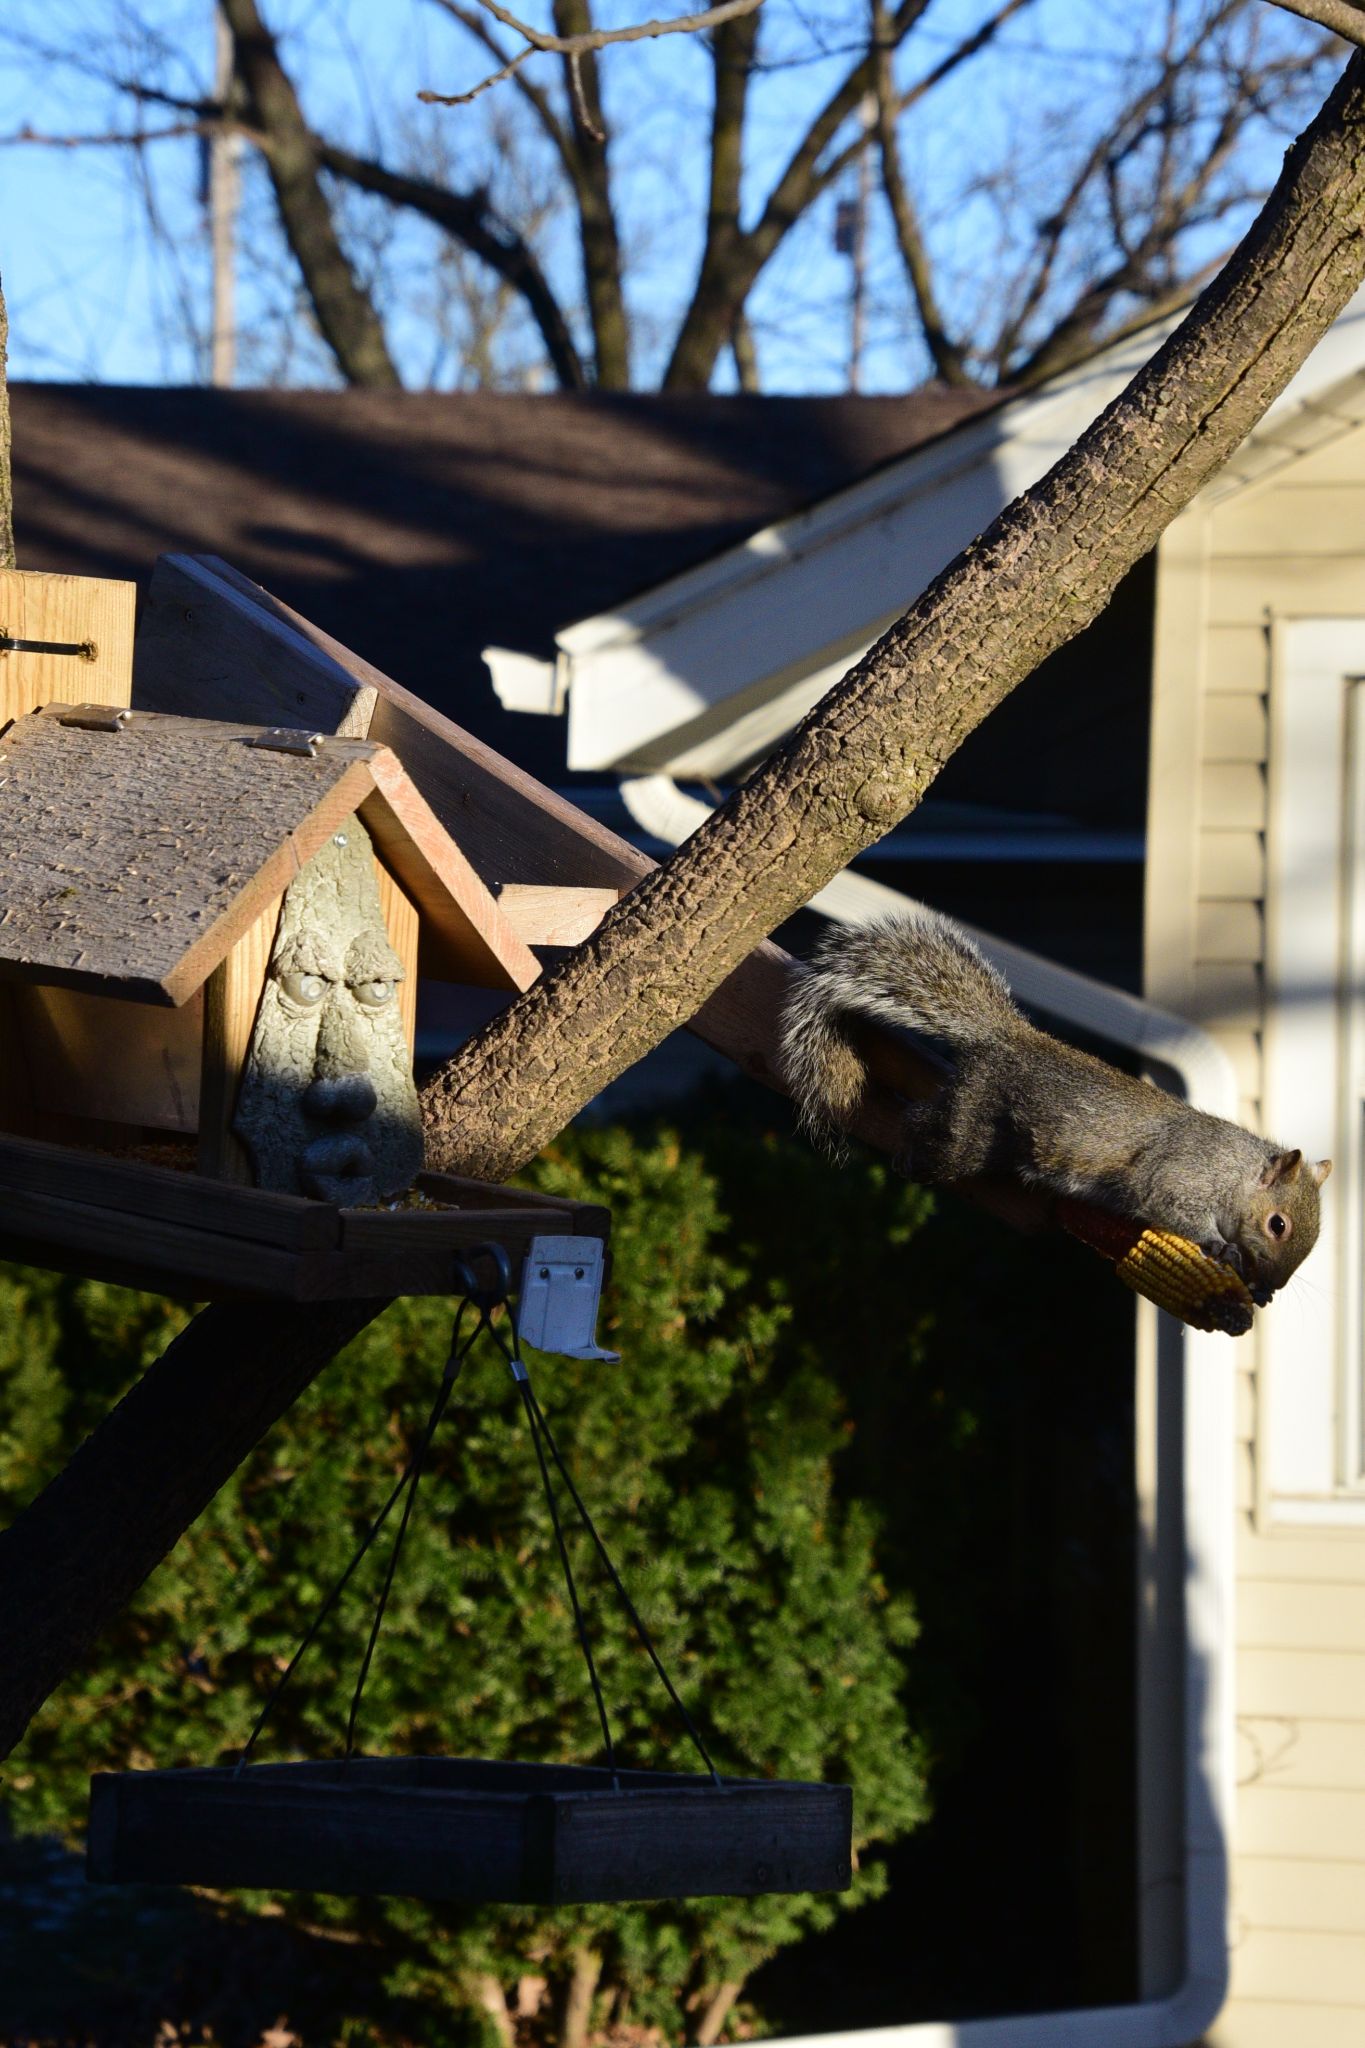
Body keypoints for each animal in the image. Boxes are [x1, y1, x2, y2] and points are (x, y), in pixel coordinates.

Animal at [779, 907, 1330, 1305]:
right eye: (1278, 1225)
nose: (1276, 1286)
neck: (1234, 1170)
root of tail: (1005, 1039)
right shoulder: (1183, 1172)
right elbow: (1168, 1203)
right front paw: (1219, 1246)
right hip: (974, 1121)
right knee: (933, 1128)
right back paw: (914, 1151)